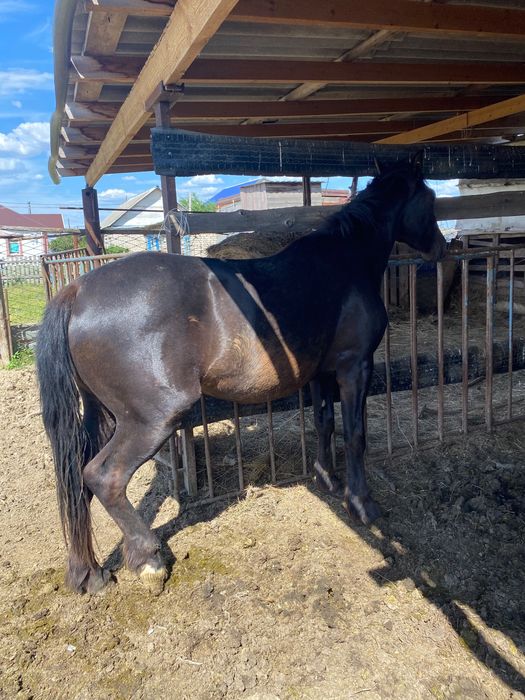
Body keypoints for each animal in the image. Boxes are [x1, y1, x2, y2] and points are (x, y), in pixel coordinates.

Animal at [36, 154, 446, 594]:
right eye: (431, 200)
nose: (441, 248)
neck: (345, 260)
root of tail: (77, 291)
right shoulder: (355, 366)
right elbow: (355, 435)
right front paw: (362, 504)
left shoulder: (322, 372)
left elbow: (324, 423)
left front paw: (326, 479)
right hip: (151, 420)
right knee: (103, 477)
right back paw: (148, 559)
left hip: (104, 415)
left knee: (76, 477)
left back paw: (89, 573)